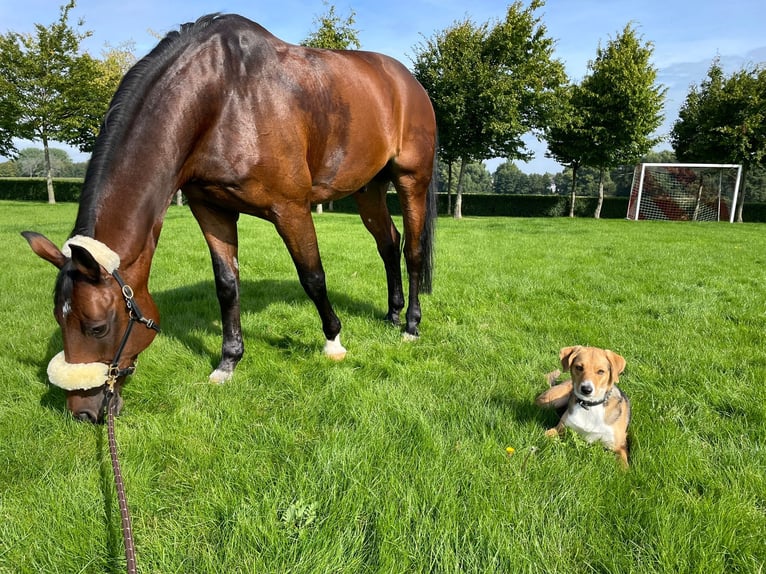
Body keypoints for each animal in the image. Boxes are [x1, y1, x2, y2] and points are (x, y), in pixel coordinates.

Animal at [22, 14, 438, 424]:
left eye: (98, 327)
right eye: (59, 319)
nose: (83, 412)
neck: (224, 98)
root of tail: (408, 81)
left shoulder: (291, 208)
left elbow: (313, 276)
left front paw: (333, 342)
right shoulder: (211, 209)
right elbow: (227, 285)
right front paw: (228, 362)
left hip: (411, 180)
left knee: (413, 249)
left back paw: (411, 325)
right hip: (368, 188)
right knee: (388, 242)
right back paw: (392, 313)